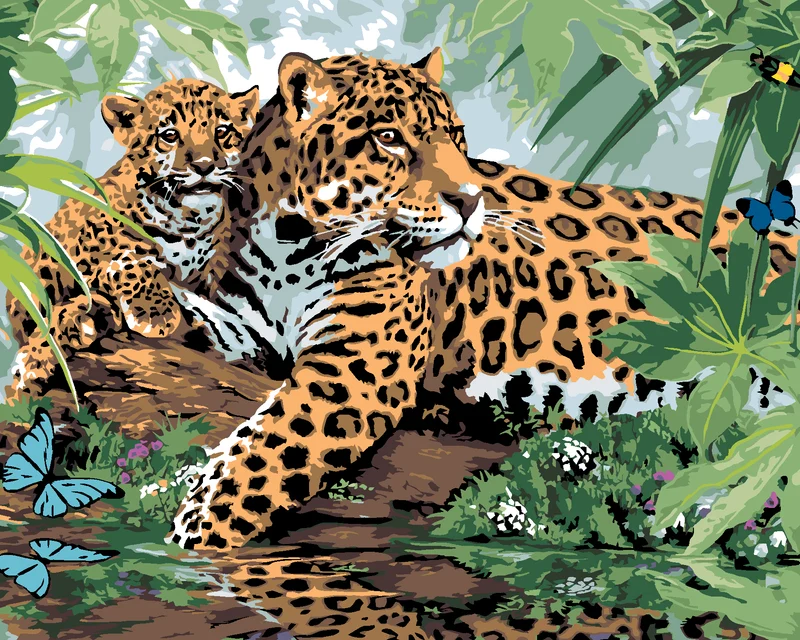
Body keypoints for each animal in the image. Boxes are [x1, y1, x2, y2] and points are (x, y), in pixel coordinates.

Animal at [7, 78, 259, 398]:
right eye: (169, 135)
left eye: (222, 131)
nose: (204, 166)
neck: (191, 218)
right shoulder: (83, 254)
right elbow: (131, 260)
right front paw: (157, 313)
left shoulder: (206, 278)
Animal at [167, 48, 800, 550]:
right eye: (389, 139)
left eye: (456, 136)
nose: (472, 200)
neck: (288, 250)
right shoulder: (242, 328)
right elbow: (194, 326)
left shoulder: (354, 369)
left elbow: (267, 451)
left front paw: (192, 535)